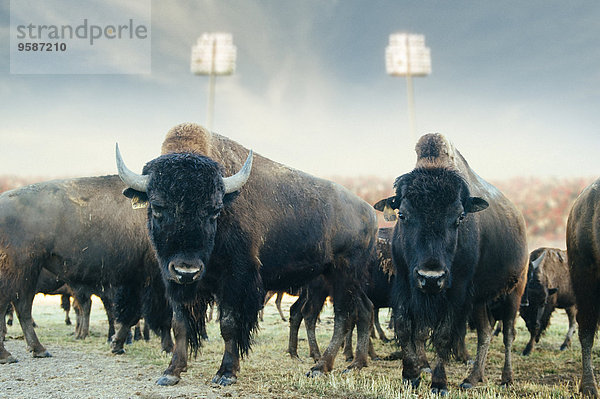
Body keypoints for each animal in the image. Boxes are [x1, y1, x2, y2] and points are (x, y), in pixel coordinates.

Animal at [115, 122, 378, 388]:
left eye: (215, 209)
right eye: (157, 206)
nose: (187, 270)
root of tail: (369, 211)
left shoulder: (235, 280)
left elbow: (229, 324)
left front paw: (226, 373)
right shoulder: (177, 283)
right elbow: (180, 324)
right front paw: (171, 372)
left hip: (343, 275)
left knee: (343, 317)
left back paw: (320, 367)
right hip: (339, 280)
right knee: (363, 310)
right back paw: (355, 363)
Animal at [372, 134, 528, 394]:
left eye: (460, 217)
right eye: (402, 214)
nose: (431, 277)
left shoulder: (456, 293)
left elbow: (443, 335)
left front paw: (438, 383)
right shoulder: (405, 286)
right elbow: (406, 328)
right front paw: (410, 376)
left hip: (513, 292)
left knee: (507, 334)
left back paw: (506, 379)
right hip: (480, 301)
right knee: (485, 333)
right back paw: (472, 379)